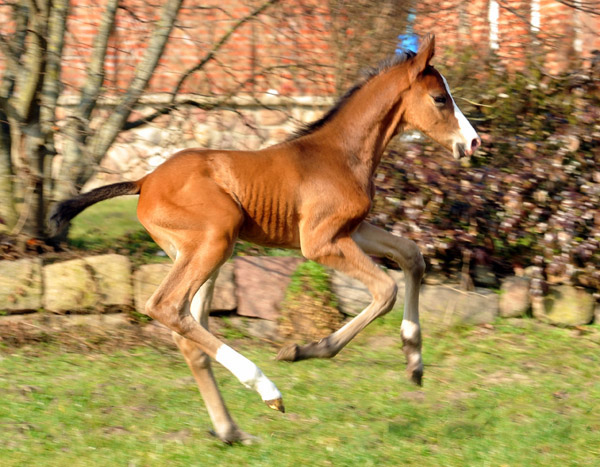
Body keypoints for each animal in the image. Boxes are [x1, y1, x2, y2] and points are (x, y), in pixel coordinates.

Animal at [51, 34, 482, 444]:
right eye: (440, 98)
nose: (474, 142)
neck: (340, 153)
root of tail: (144, 181)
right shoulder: (319, 242)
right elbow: (385, 289)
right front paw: (304, 350)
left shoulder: (352, 229)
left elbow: (412, 256)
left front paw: (414, 359)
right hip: (217, 237)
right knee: (166, 307)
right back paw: (265, 388)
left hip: (199, 253)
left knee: (188, 331)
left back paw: (231, 431)